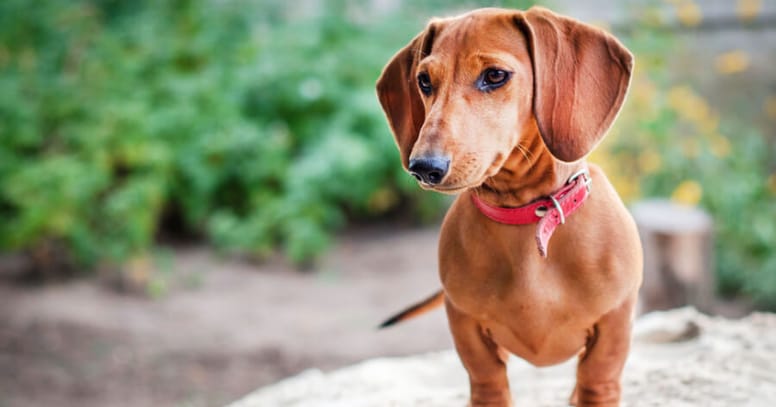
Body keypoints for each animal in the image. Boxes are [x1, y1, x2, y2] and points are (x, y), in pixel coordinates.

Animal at [376, 6, 644, 407]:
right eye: (424, 81)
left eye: (494, 76)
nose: (423, 167)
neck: (529, 216)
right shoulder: (466, 325)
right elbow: (488, 381)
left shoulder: (613, 325)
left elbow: (597, 381)